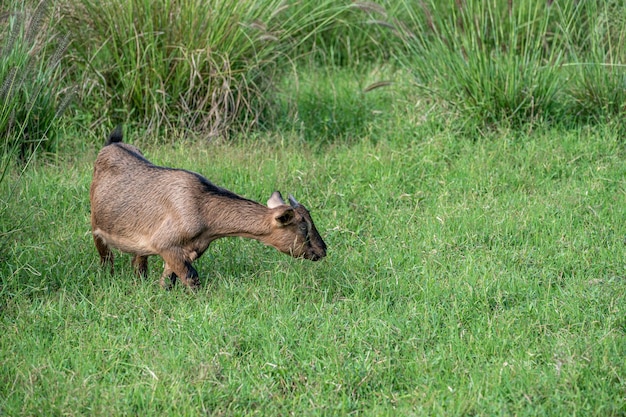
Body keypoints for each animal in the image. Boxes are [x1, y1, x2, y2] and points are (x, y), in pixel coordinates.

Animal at [92, 127, 330, 290]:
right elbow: (192, 279)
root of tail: (112, 144)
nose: (323, 251)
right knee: (106, 258)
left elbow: (168, 280)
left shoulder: (186, 251)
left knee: (138, 262)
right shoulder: (166, 244)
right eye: (303, 228)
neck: (202, 208)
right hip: (96, 227)